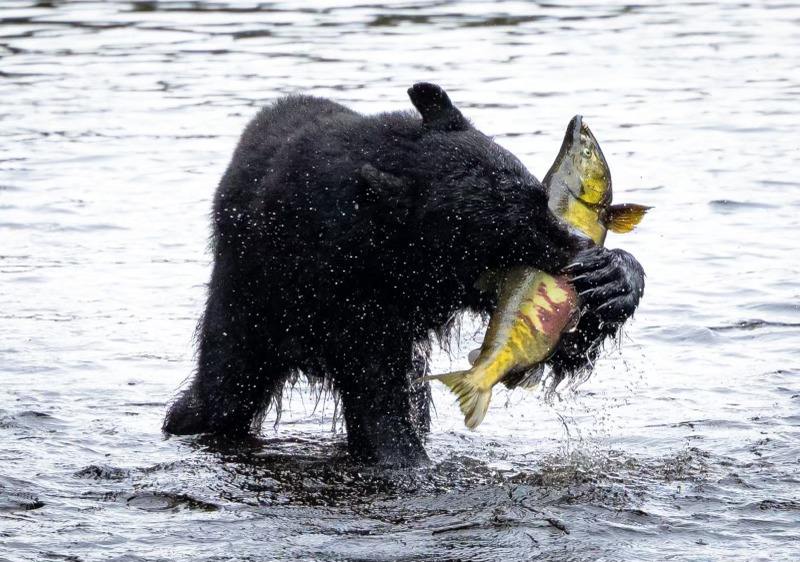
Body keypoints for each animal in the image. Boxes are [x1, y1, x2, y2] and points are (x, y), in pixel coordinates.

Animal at [164, 83, 645, 466]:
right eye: (507, 226)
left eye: (537, 196)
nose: (579, 244)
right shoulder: (347, 288)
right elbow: (375, 379)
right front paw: (401, 454)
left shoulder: (456, 280)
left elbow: (562, 343)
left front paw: (612, 277)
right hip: (248, 301)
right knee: (223, 390)